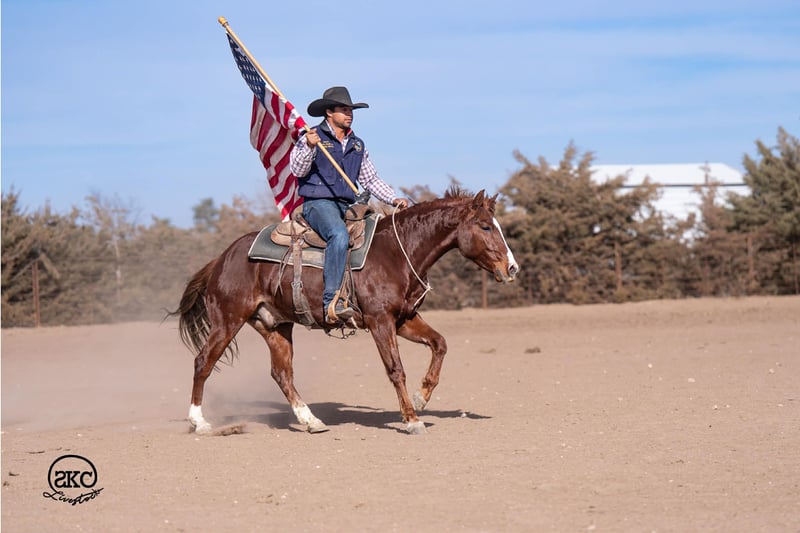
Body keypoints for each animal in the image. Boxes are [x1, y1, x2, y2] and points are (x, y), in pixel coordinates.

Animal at [172, 188, 519, 435]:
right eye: (485, 226)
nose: (512, 268)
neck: (396, 253)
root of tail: (222, 258)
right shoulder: (380, 322)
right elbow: (396, 369)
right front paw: (411, 419)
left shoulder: (404, 320)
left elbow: (440, 344)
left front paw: (422, 397)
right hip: (227, 321)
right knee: (203, 362)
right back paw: (199, 422)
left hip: (275, 326)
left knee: (282, 373)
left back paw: (311, 420)